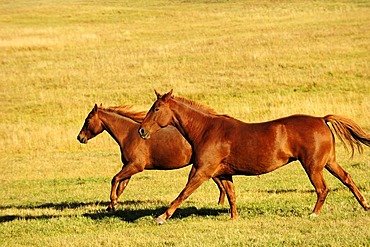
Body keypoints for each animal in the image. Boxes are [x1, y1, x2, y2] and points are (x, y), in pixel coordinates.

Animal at [76, 103, 227, 210]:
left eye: (87, 121)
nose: (80, 138)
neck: (129, 135)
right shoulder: (128, 166)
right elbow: (121, 186)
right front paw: (112, 206)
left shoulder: (135, 166)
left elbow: (115, 179)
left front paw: (112, 202)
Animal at [139, 90, 370, 224]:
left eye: (156, 108)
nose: (142, 130)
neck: (206, 130)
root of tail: (322, 119)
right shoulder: (223, 174)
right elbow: (231, 195)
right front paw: (234, 218)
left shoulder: (202, 171)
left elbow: (183, 193)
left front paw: (162, 217)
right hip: (329, 162)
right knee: (347, 178)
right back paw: (365, 205)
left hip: (313, 166)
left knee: (323, 189)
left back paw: (314, 214)